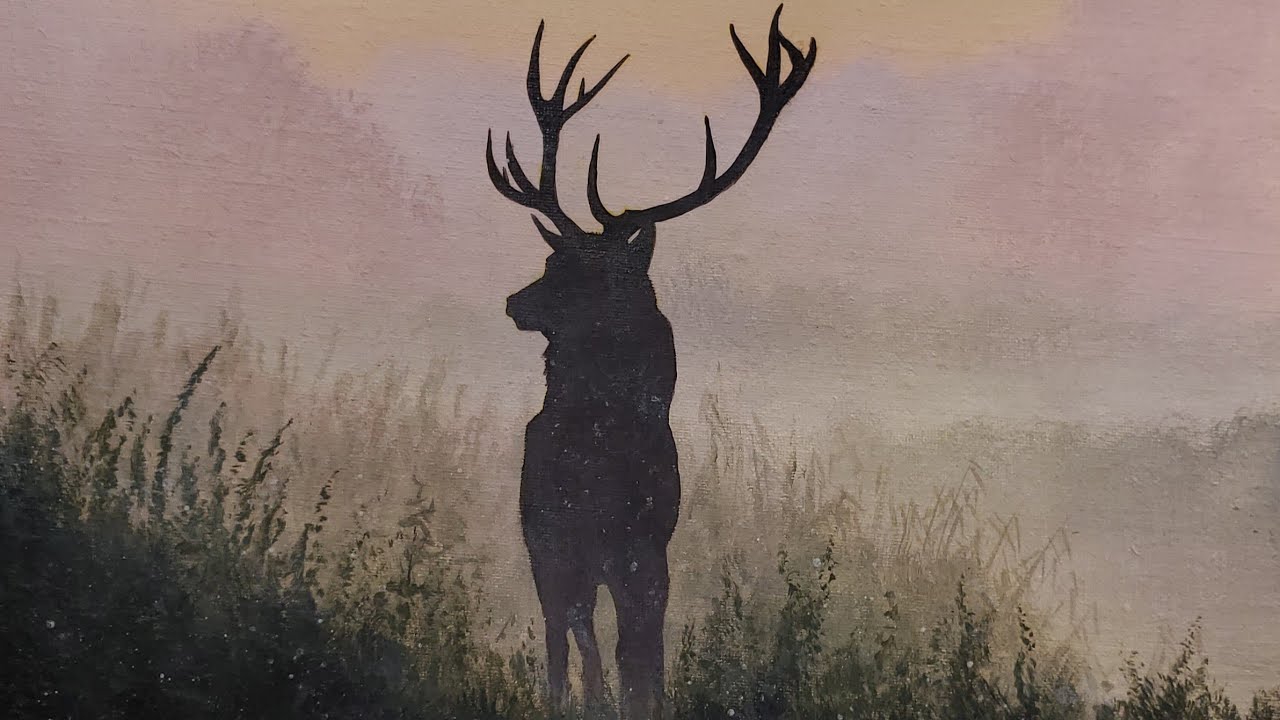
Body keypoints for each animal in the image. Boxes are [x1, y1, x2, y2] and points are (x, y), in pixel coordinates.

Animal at [485, 5, 816, 718]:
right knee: (564, 634)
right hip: (553, 542)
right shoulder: (569, 541)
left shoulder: (645, 545)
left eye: (573, 270)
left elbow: (642, 650)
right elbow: (594, 643)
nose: (514, 302)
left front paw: (637, 697)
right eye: (553, 258)